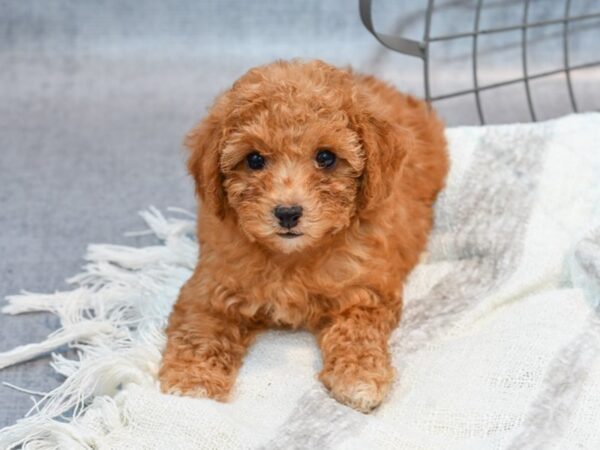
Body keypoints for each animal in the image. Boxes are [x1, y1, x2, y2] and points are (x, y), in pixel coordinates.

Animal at [157, 59, 448, 412]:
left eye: (326, 157)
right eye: (254, 159)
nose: (287, 213)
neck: (291, 257)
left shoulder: (365, 288)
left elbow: (356, 330)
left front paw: (359, 378)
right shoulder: (209, 286)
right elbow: (200, 329)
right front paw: (192, 383)